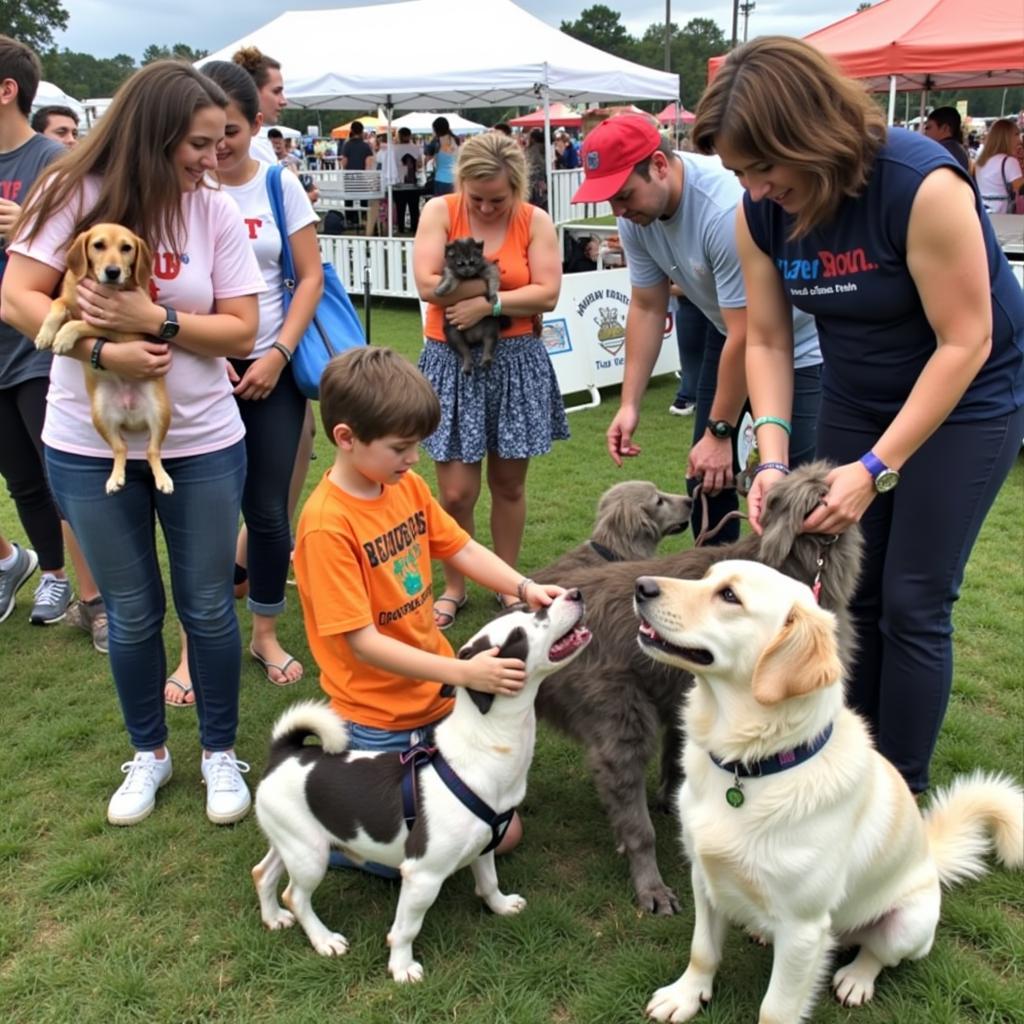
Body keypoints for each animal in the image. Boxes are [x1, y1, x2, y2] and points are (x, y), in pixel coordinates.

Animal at [434, 237, 509, 374]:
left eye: (473, 262)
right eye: (460, 264)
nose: (467, 270)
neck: (469, 276)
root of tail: (474, 338)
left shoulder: (487, 267)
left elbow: (493, 277)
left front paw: (493, 294)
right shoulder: (451, 270)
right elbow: (449, 277)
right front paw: (443, 287)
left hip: (491, 325)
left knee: (489, 341)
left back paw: (486, 358)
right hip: (452, 331)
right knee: (463, 348)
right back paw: (467, 363)